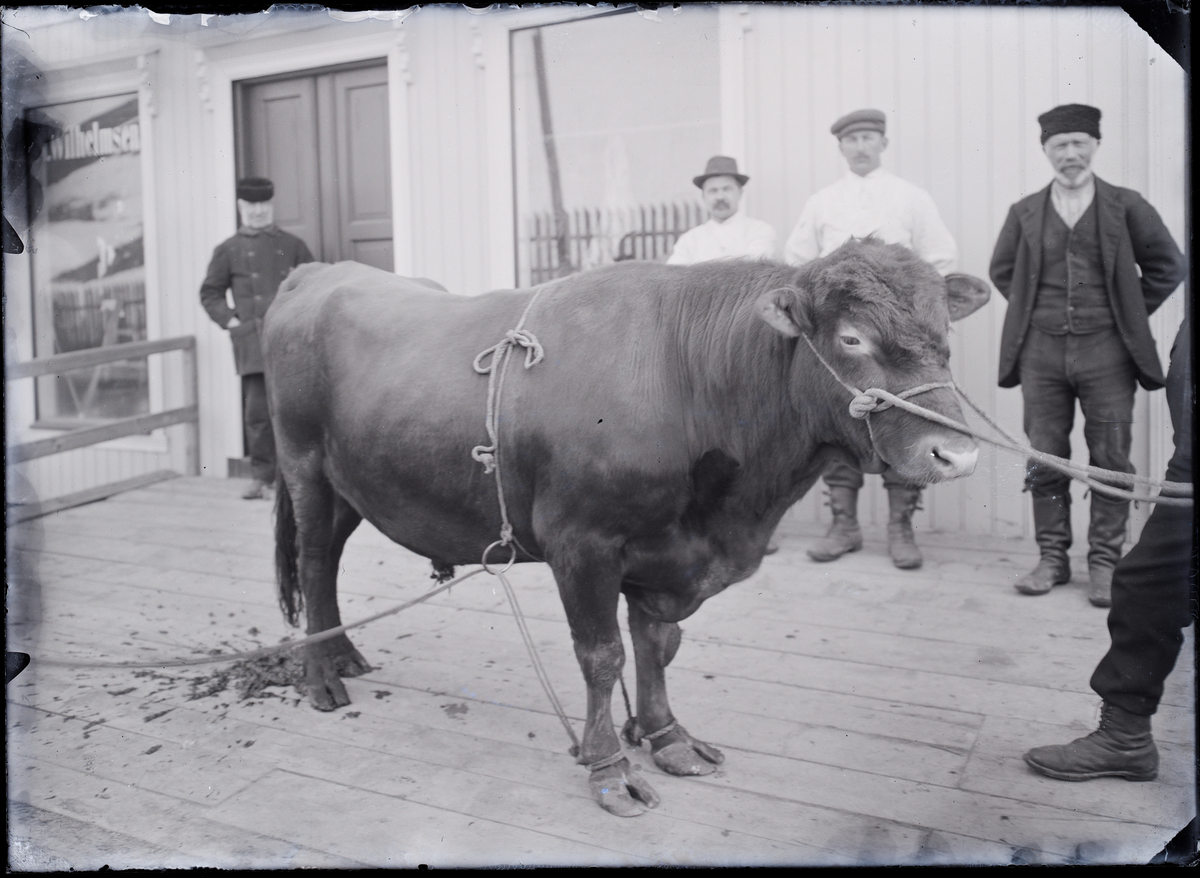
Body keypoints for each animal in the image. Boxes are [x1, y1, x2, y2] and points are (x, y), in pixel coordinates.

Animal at [267, 239, 988, 815]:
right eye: (852, 338)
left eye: (945, 335)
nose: (956, 453)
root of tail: (320, 272)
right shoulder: (581, 544)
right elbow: (602, 654)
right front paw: (610, 767)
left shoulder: (663, 553)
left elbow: (657, 645)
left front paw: (668, 737)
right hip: (304, 466)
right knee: (312, 560)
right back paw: (321, 676)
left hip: (352, 484)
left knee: (329, 560)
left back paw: (342, 653)